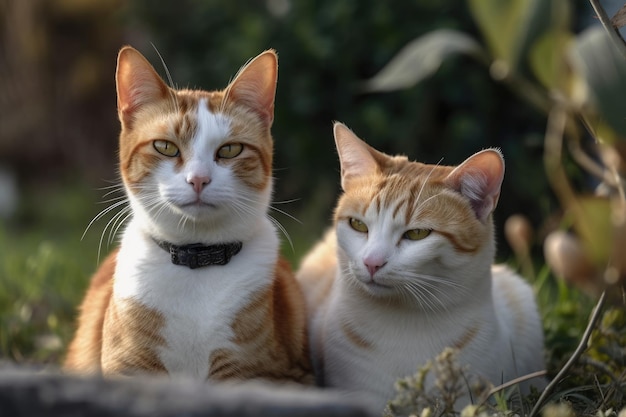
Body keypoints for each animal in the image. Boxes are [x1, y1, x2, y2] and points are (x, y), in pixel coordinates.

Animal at [64, 46, 312, 384]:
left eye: (230, 150)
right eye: (165, 147)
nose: (198, 180)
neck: (196, 260)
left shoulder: (273, 375)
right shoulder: (128, 368)